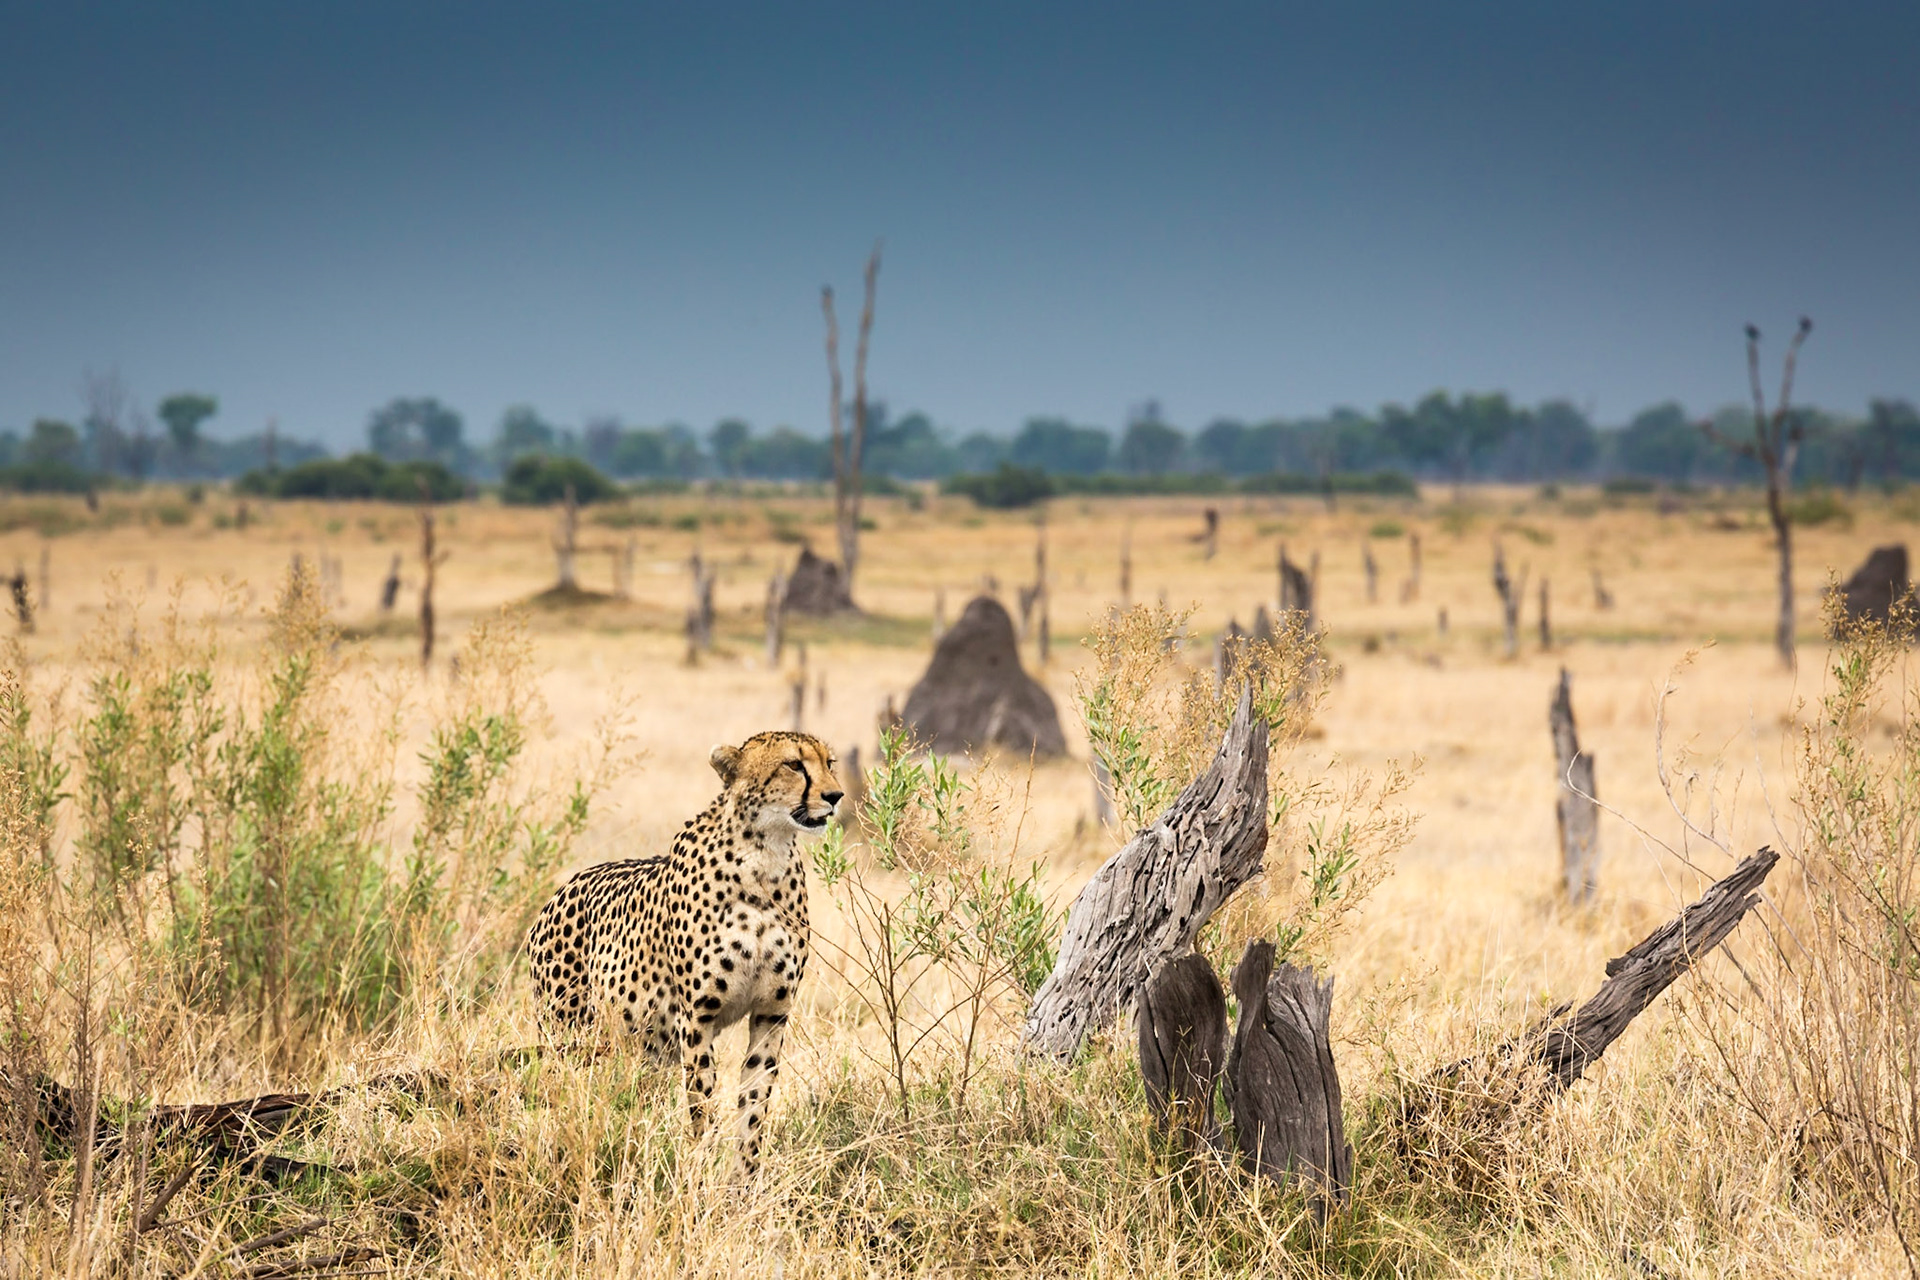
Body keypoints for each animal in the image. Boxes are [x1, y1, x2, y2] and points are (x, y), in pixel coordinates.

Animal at [526, 730, 842, 1176]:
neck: (767, 858)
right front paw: (701, 1173)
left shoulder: (771, 1013)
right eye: (793, 765)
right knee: (561, 1092)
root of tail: (564, 886)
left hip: (641, 1047)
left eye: (829, 762)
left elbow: (754, 1104)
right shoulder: (697, 1016)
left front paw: (744, 1179)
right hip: (568, 1033)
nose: (835, 795)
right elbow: (702, 1102)